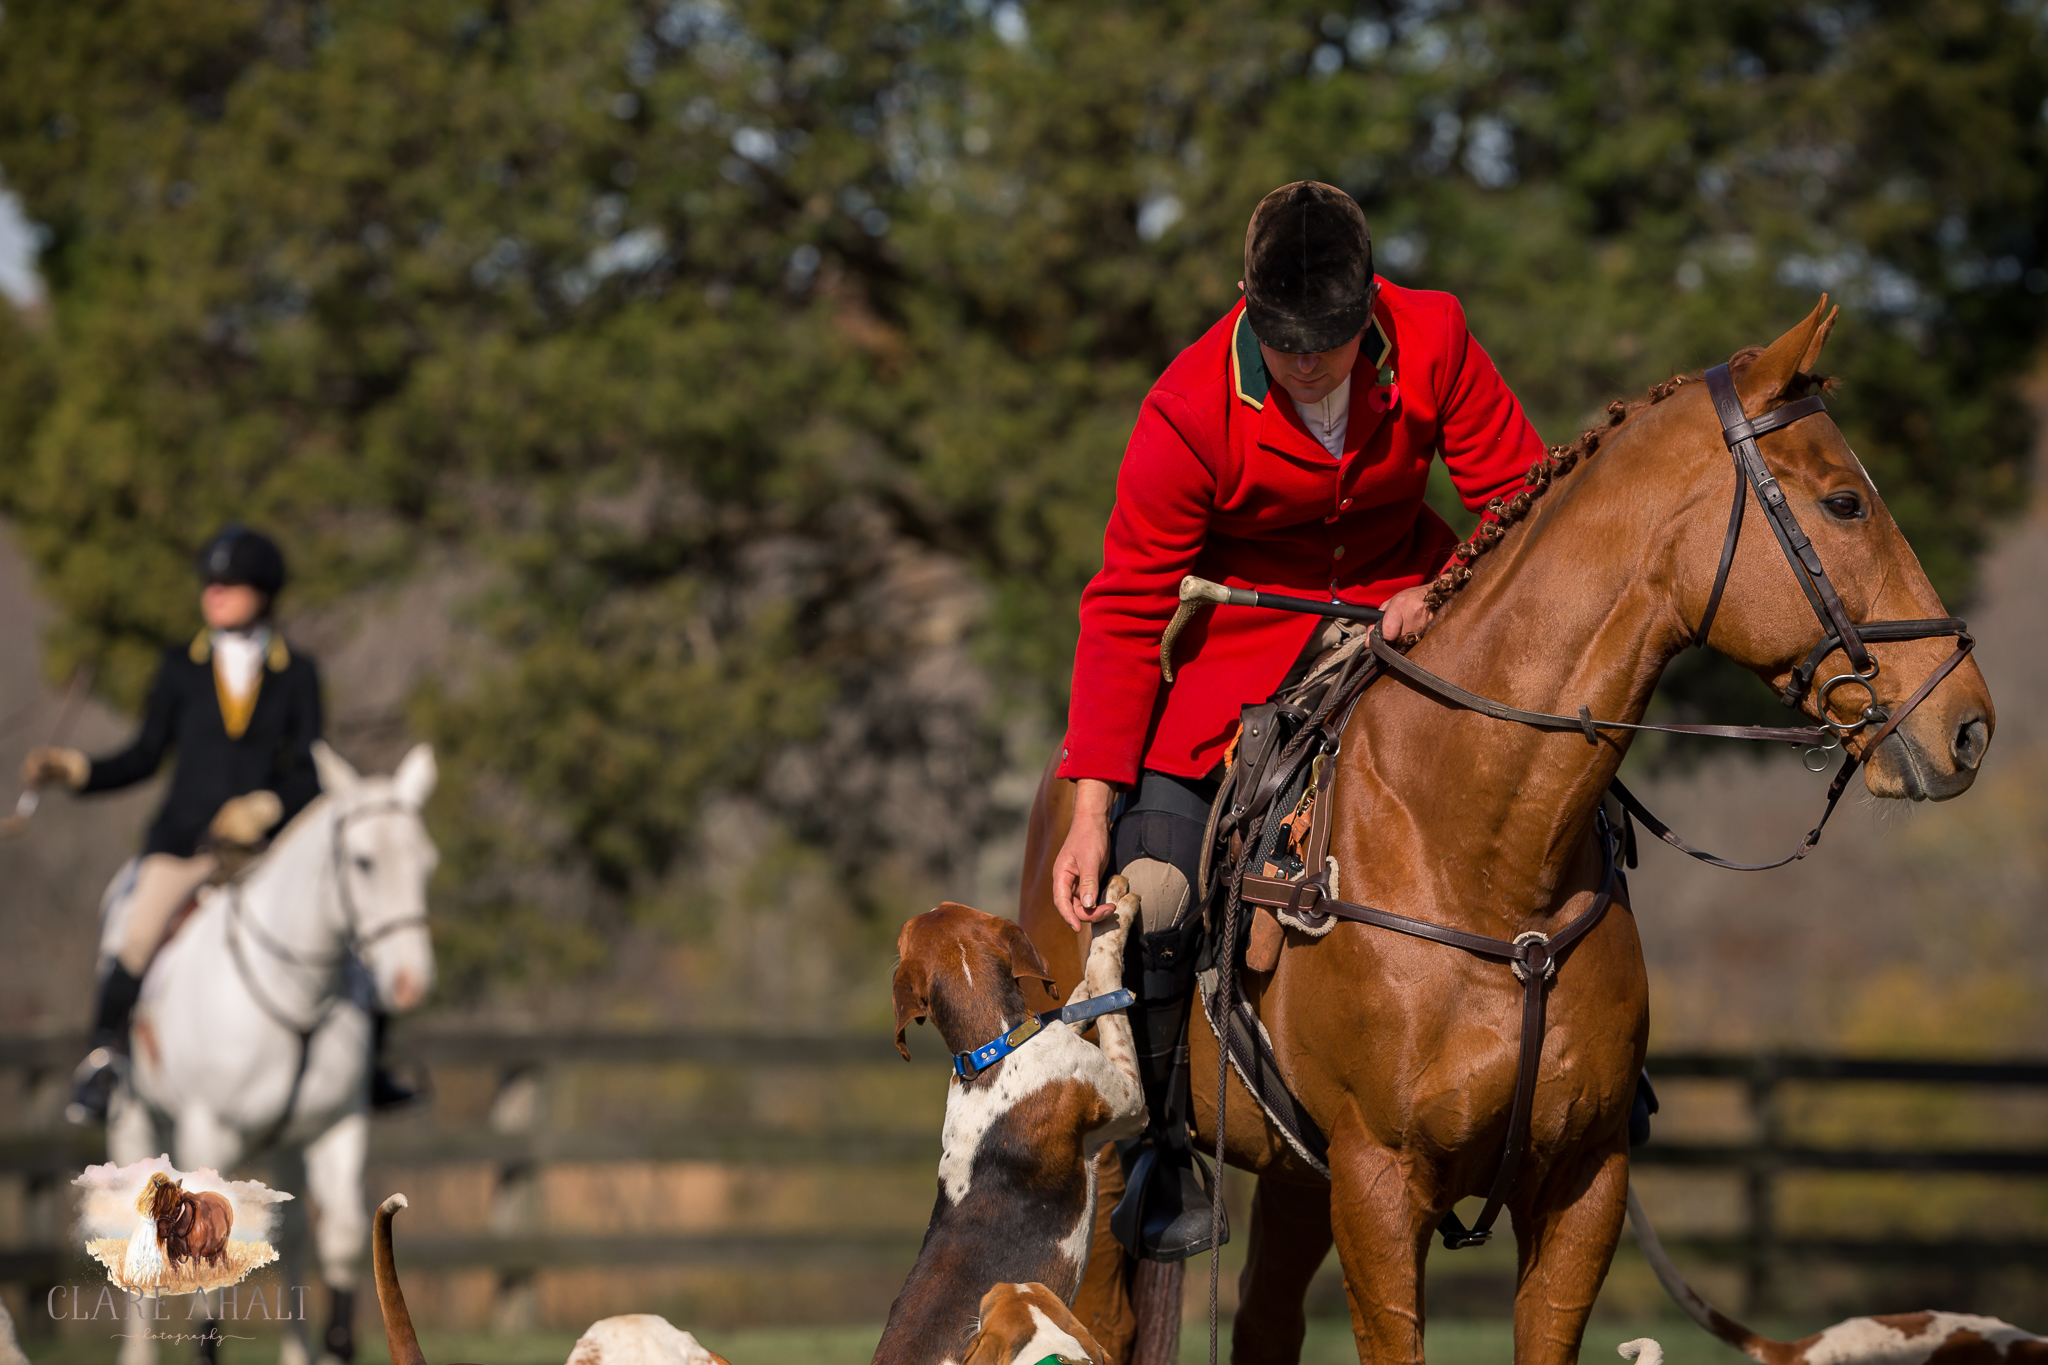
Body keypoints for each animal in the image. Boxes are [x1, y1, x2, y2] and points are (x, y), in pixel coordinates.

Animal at [110, 740, 438, 1365]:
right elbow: (206, 1276)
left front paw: (336, 1347)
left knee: (297, 1237)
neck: (293, 993)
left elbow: (342, 1237)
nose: (411, 982)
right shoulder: (208, 1131)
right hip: (135, 1120)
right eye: (362, 862)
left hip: (287, 1146)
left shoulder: (337, 1127)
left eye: (426, 863)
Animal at [1015, 304, 1990, 1365]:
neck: (1485, 855)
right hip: (1126, 1160)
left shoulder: (1581, 1184)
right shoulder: (1381, 1186)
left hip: (1297, 1176)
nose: (1967, 726)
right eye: (1846, 502)